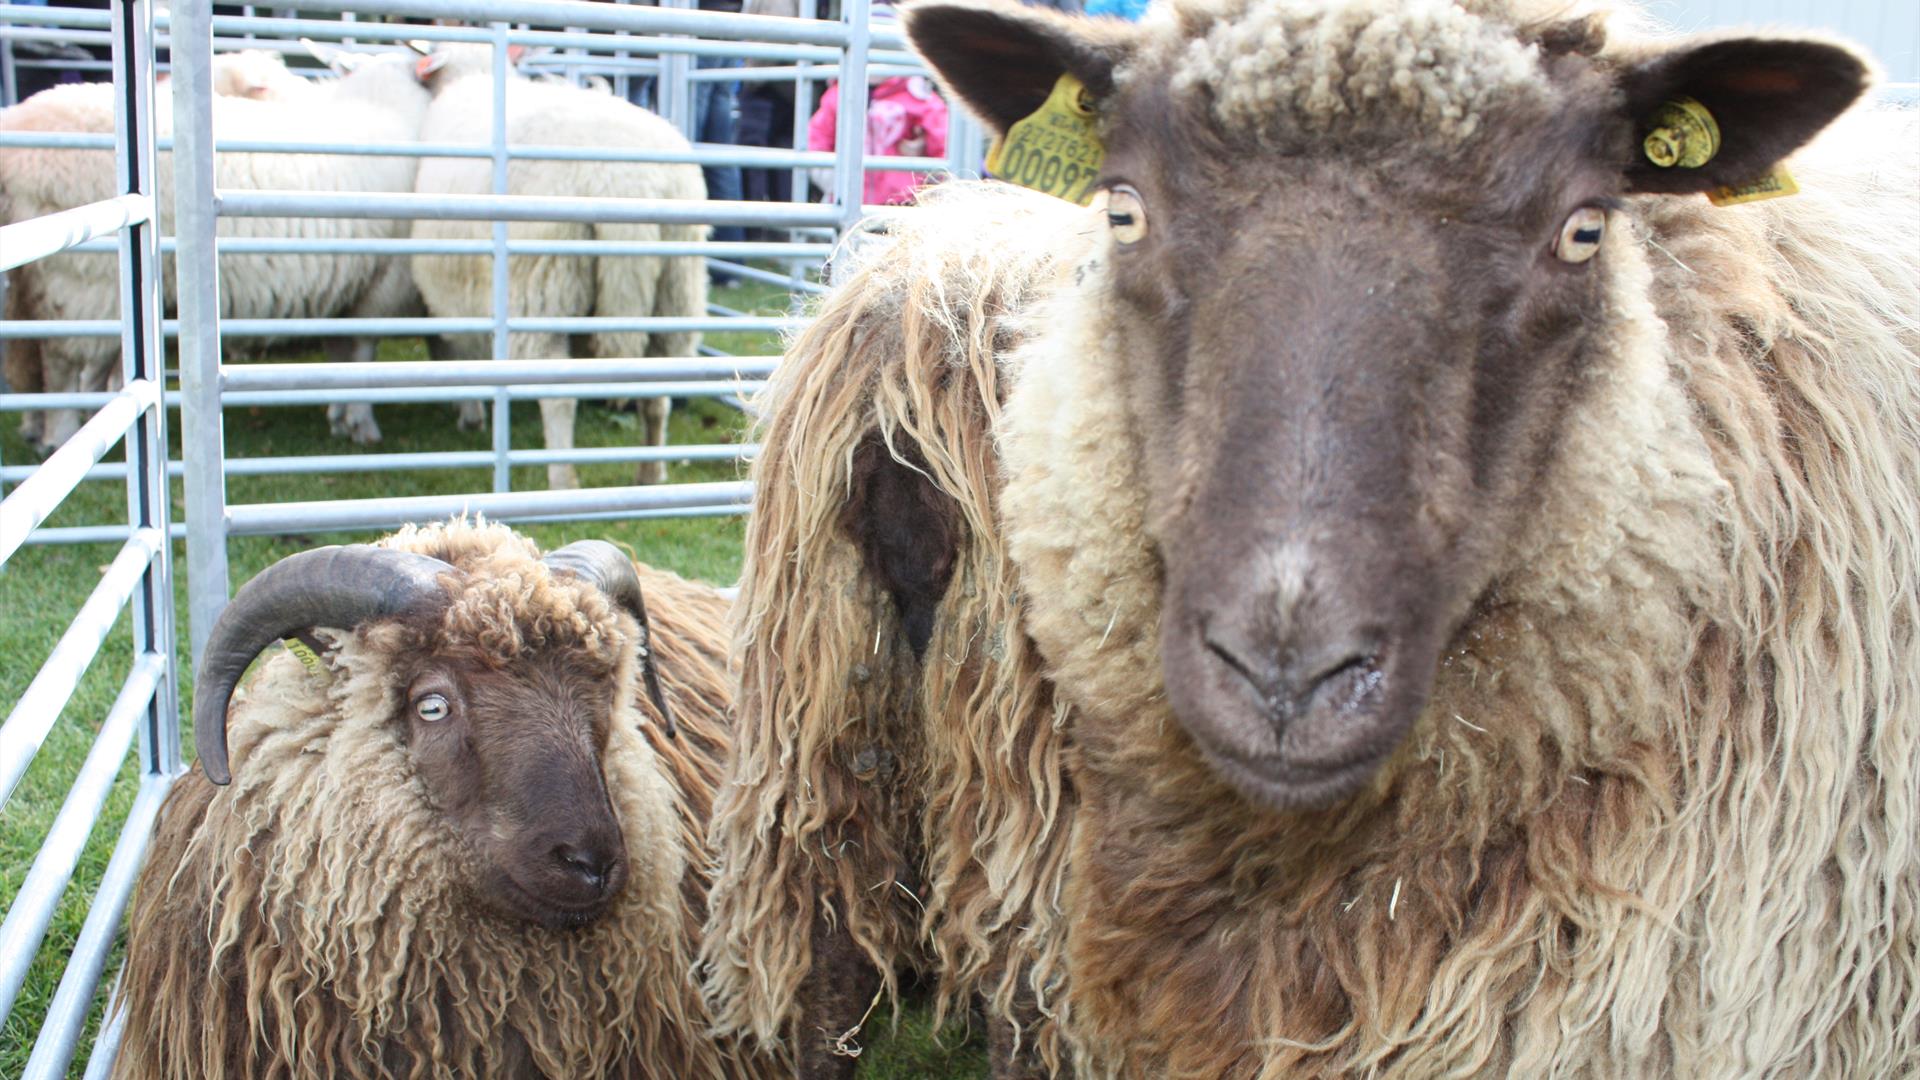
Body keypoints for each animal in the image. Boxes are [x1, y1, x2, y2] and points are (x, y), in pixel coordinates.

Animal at [0, 42, 428, 451]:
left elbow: (341, 353)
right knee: (62, 364)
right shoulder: (381, 283)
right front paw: (361, 422)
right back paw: (62, 434)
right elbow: (362, 353)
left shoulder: (345, 287)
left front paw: (339, 416)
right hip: (83, 283)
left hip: (38, 285)